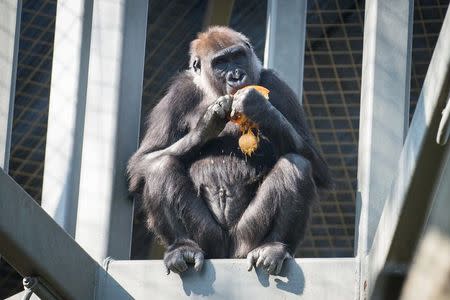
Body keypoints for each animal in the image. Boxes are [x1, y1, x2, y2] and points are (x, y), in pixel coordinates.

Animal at [126, 27, 330, 276]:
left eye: (237, 56)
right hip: (209, 241)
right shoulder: (178, 92)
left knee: (296, 164)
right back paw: (182, 247)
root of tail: (227, 253)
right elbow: (142, 162)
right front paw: (206, 124)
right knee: (159, 167)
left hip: (245, 240)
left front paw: (260, 108)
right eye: (220, 63)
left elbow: (318, 167)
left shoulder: (277, 85)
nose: (236, 76)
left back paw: (273, 246)